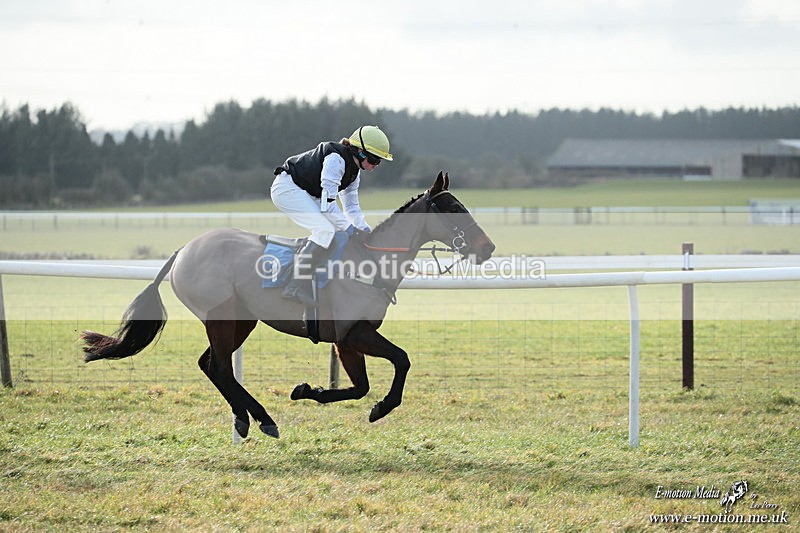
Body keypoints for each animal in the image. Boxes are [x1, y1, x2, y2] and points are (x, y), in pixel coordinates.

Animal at [81, 172, 495, 439]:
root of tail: (183, 250)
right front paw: (380, 407)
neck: (370, 262)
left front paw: (310, 391)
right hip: (221, 316)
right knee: (219, 365)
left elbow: (359, 386)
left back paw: (249, 418)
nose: (487, 248)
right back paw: (259, 419)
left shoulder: (346, 339)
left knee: (210, 364)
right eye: (453, 208)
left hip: (242, 320)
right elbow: (401, 360)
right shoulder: (352, 333)